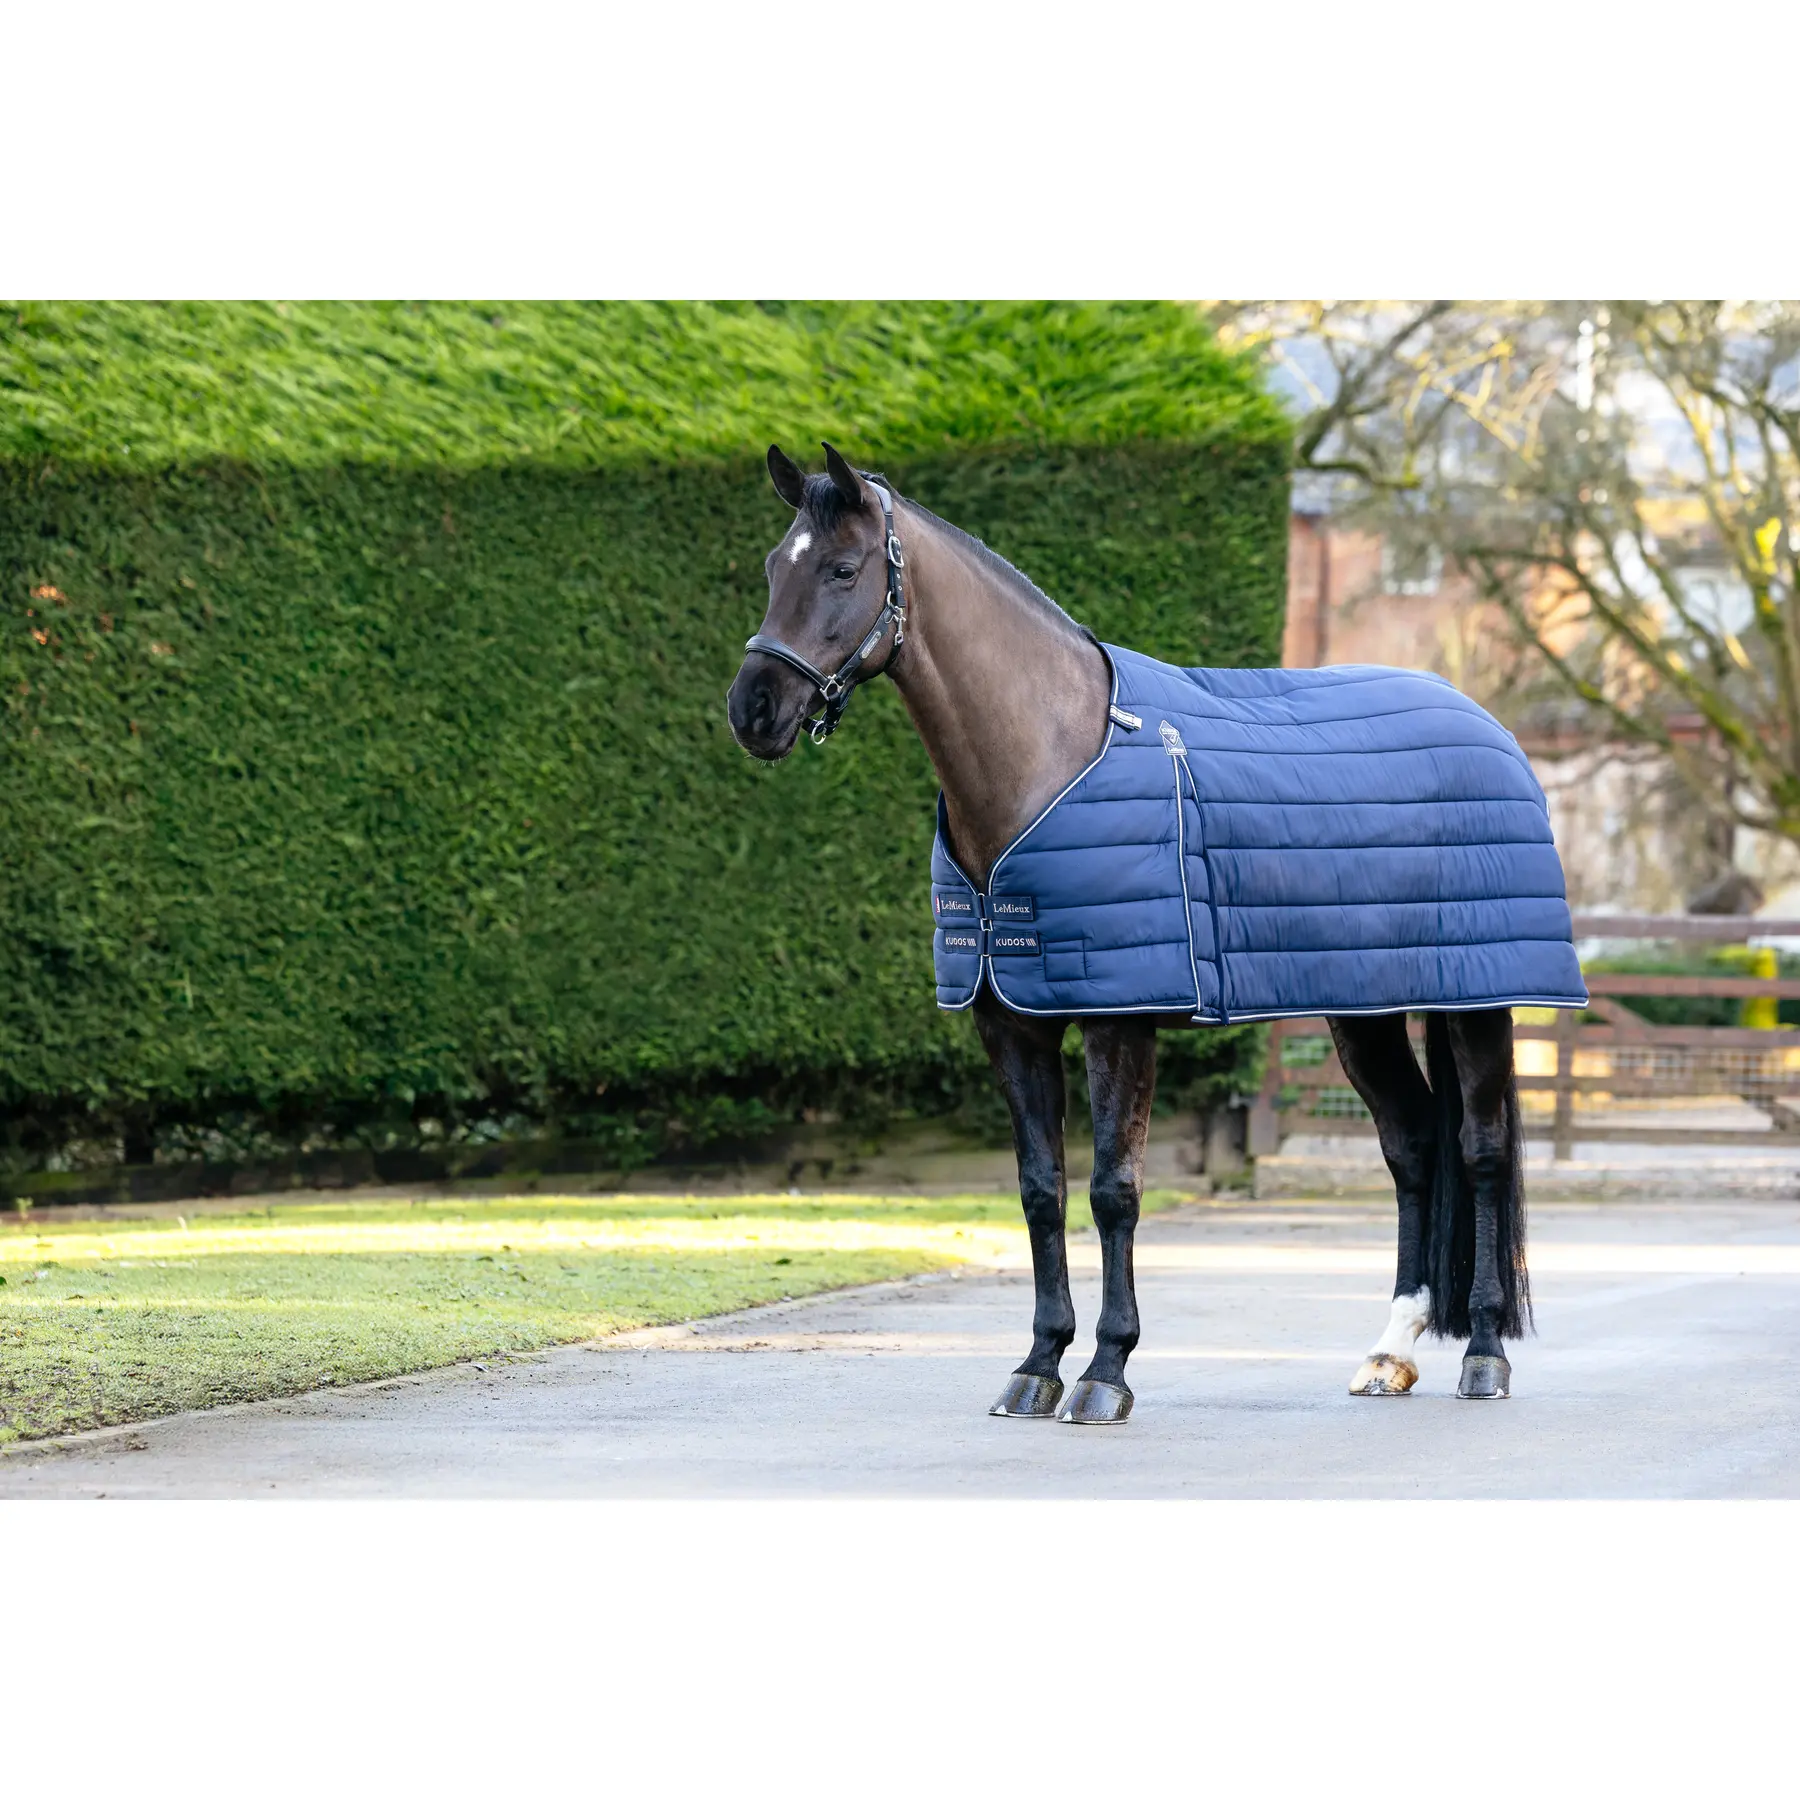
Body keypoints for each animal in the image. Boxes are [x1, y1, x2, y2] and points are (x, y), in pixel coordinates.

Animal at [727, 442, 1546, 1424]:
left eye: (844, 570)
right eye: (773, 567)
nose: (753, 709)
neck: (1050, 756)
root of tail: (1486, 722)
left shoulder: (1120, 1019)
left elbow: (1113, 1190)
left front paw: (1106, 1371)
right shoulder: (1010, 1021)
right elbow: (1041, 1190)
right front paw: (1038, 1363)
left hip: (1479, 1001)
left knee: (1481, 1149)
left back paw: (1486, 1355)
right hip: (1366, 1010)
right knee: (1414, 1146)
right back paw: (1390, 1351)